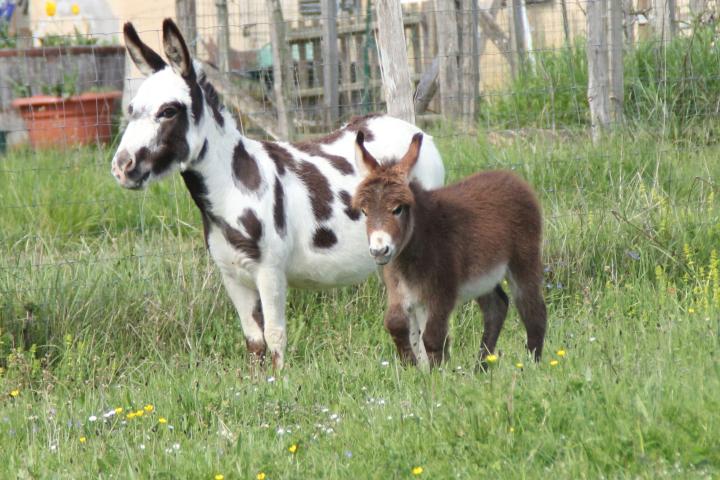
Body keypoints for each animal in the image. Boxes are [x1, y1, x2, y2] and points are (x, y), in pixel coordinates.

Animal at [352, 131, 544, 368]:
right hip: (482, 277)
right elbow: (395, 324)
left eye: (398, 209)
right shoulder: (399, 290)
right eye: (365, 211)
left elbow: (433, 338)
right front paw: (411, 367)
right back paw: (480, 368)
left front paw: (437, 374)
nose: (379, 251)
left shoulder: (442, 291)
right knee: (497, 307)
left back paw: (533, 365)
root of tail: (511, 177)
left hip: (523, 260)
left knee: (533, 310)